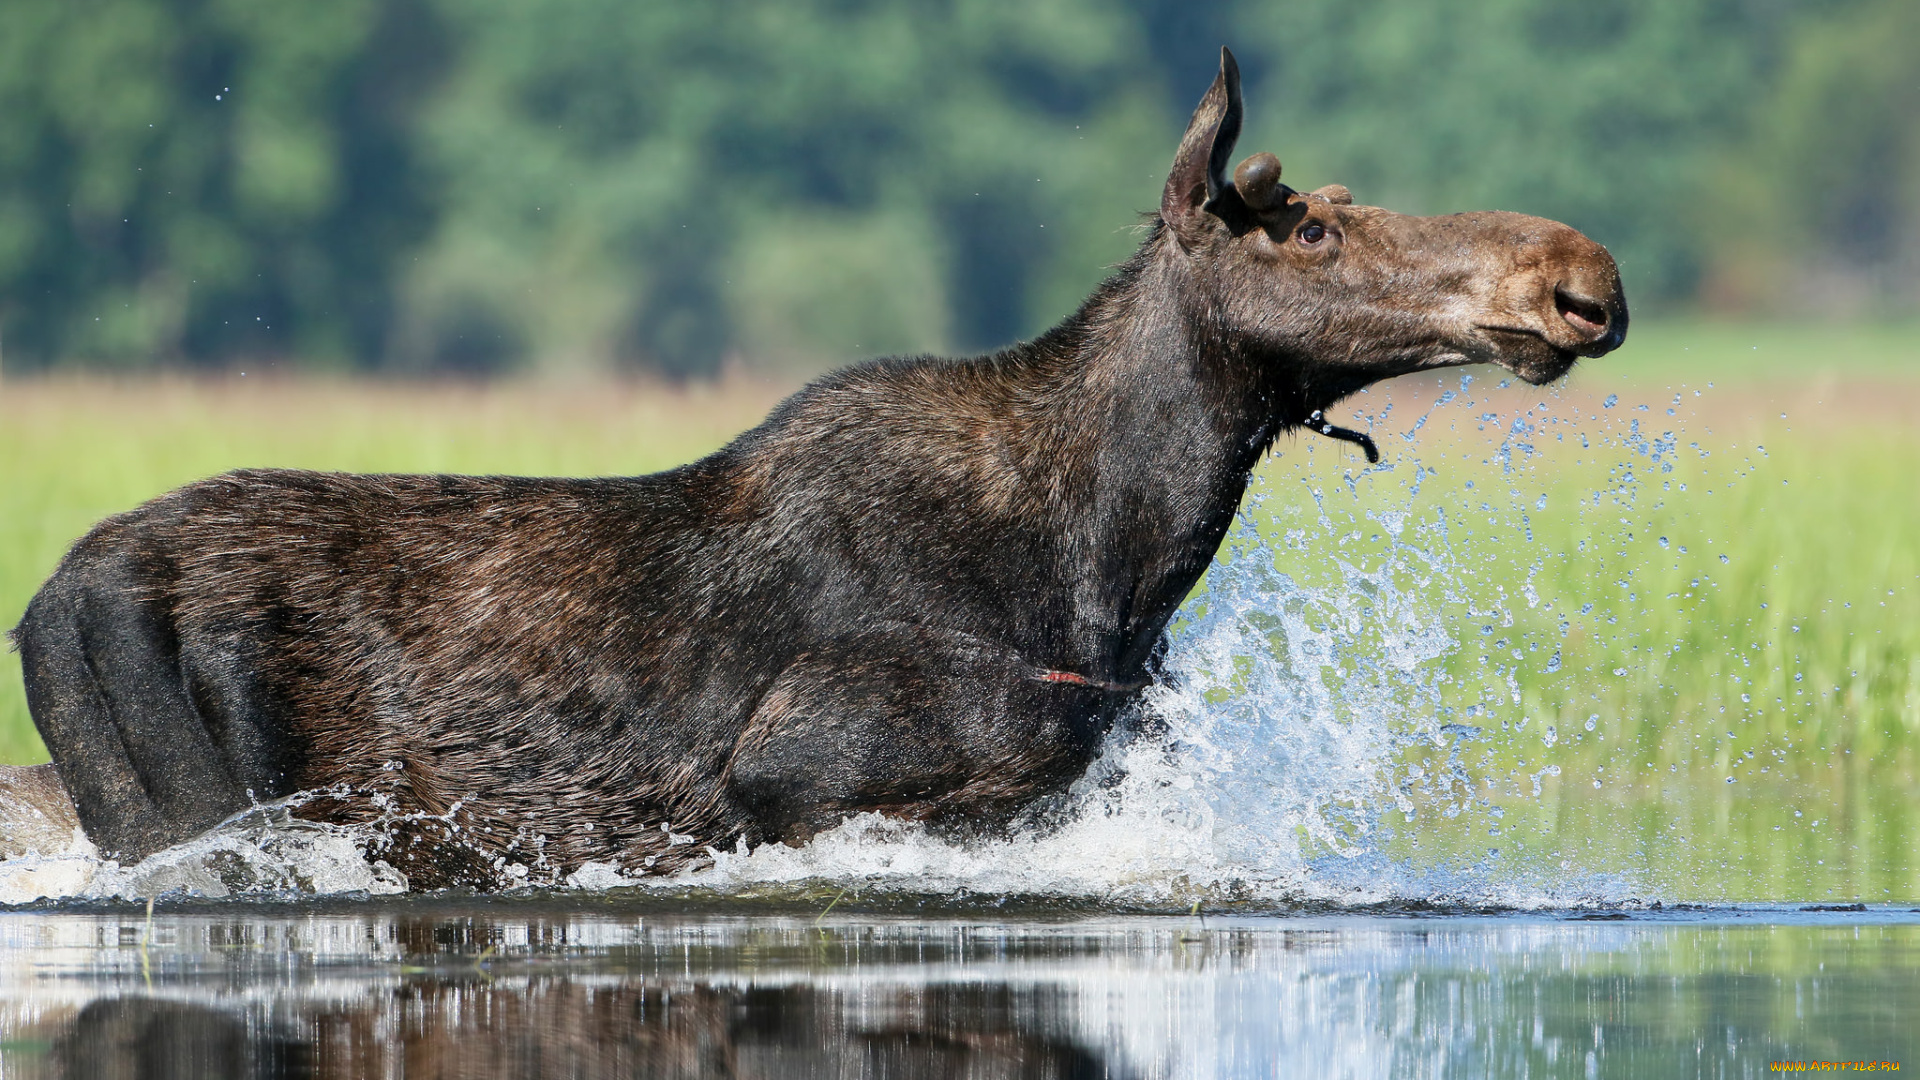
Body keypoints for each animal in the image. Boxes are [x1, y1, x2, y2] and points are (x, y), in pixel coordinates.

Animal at [7, 50, 1628, 883]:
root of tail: (43, 601)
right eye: (1309, 225)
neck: (1119, 559)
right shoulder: (809, 777)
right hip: (182, 816)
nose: (1578, 277)